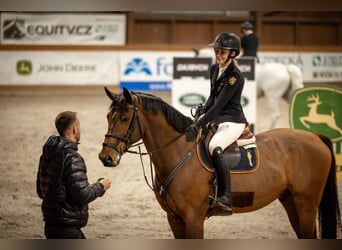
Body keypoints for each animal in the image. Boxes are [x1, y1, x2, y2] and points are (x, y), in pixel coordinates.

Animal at [98, 87, 340, 239]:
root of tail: (315, 136)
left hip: (306, 203)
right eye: (108, 116)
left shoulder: (194, 218)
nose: (105, 157)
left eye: (125, 118)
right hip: (291, 201)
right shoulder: (174, 219)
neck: (179, 152)